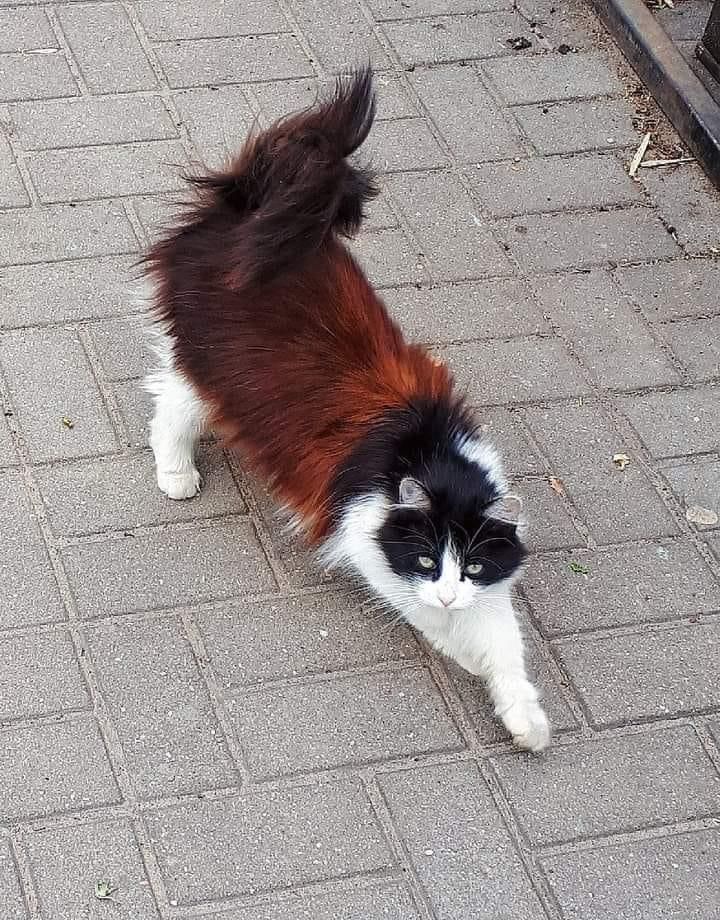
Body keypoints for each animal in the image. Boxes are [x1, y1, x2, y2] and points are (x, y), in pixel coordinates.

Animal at [145, 66, 552, 756]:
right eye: (426, 559)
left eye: (471, 563)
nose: (450, 593)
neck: (431, 454)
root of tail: (247, 204)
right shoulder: (366, 541)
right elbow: (440, 622)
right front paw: (466, 655)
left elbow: (504, 642)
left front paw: (523, 717)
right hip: (210, 371)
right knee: (168, 407)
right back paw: (177, 475)